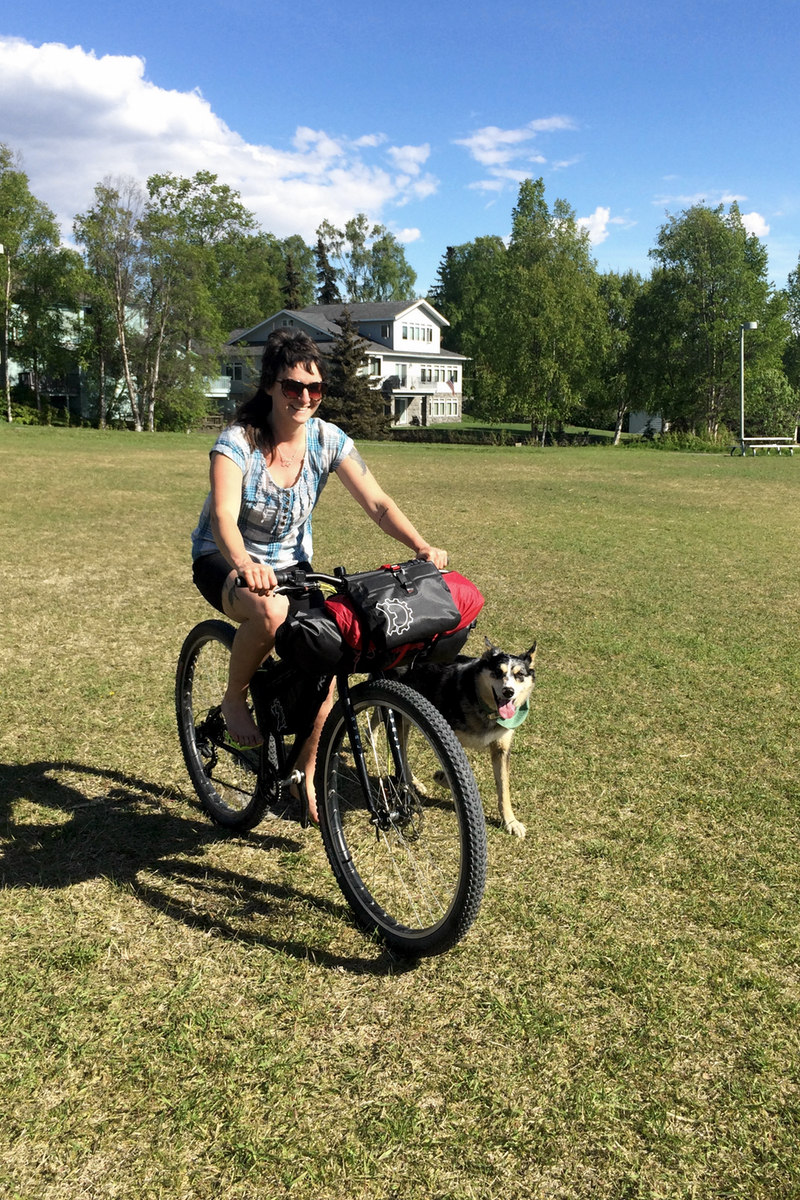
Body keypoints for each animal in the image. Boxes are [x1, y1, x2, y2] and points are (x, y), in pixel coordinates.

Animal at [395, 638, 537, 835]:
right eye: (497, 672)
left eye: (520, 675)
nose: (508, 691)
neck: (483, 707)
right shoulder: (448, 736)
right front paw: (442, 778)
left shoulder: (501, 749)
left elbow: (504, 788)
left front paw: (511, 822)